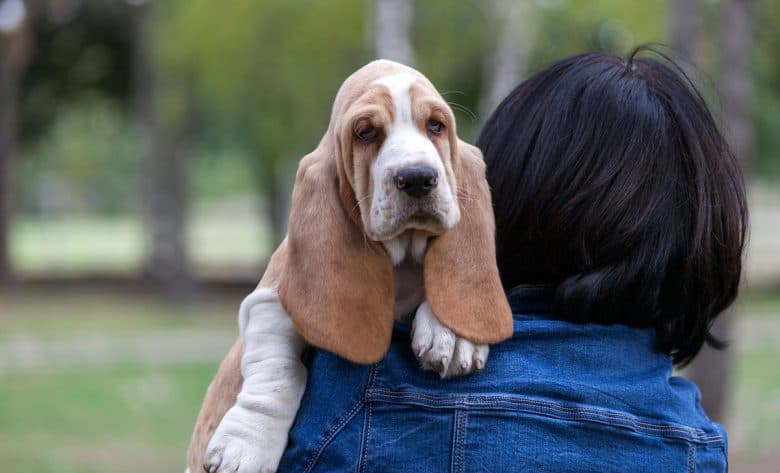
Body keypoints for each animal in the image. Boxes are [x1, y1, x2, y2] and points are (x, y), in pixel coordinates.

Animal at [187, 59, 516, 472]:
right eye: (366, 133)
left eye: (436, 126)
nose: (418, 178)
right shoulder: (269, 299)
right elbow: (278, 367)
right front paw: (247, 446)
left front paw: (454, 335)